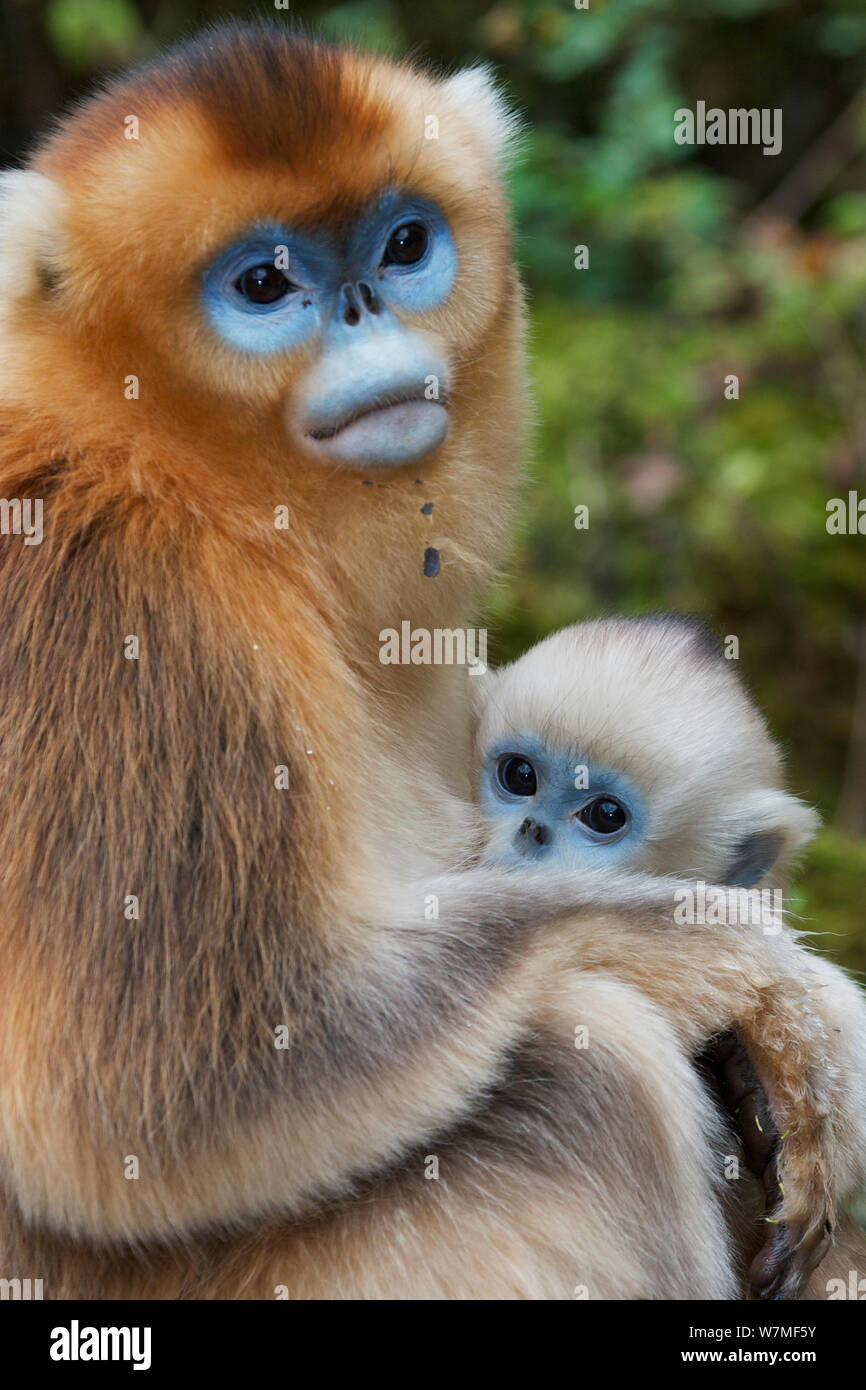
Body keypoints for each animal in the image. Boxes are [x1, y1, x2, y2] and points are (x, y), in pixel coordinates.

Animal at [0, 21, 861, 1300]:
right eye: (265, 284)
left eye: (403, 245)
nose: (363, 310)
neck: (178, 468)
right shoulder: (120, 598)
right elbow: (159, 1098)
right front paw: (779, 985)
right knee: (594, 1065)